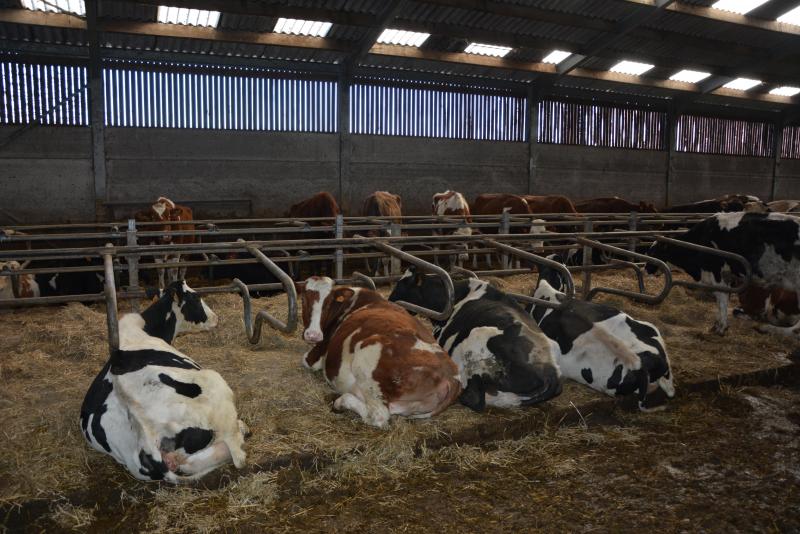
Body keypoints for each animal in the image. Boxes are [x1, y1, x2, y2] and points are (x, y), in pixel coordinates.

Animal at [80, 282, 247, 484]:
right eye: (196, 297)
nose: (216, 318)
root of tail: (144, 434)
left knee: (186, 463)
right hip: (213, 381)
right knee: (236, 453)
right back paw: (242, 430)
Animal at [300, 278, 462, 430]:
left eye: (328, 303)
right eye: (304, 300)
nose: (313, 335)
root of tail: (451, 377)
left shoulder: (316, 355)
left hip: (368, 362)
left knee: (378, 415)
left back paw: (340, 402)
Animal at [644, 213, 800, 336]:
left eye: (653, 252)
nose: (645, 269)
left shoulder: (716, 273)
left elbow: (721, 299)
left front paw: (721, 328)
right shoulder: (727, 276)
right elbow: (723, 299)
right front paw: (719, 325)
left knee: (796, 329)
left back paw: (766, 328)